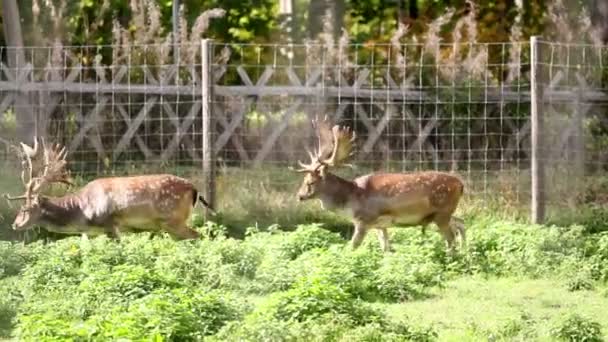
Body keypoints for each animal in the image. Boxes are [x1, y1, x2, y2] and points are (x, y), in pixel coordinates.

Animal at [2, 136, 215, 240]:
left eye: (25, 208)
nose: (15, 224)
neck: (82, 211)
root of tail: (195, 190)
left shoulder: (111, 224)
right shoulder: (90, 233)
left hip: (173, 219)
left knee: (198, 236)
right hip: (170, 225)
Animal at [294, 117, 466, 254]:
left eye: (310, 182)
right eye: (304, 180)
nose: (299, 196)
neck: (350, 199)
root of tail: (461, 184)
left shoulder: (364, 220)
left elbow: (352, 247)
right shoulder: (380, 225)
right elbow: (385, 248)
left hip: (442, 212)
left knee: (451, 237)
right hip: (442, 214)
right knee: (460, 223)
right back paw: (466, 252)